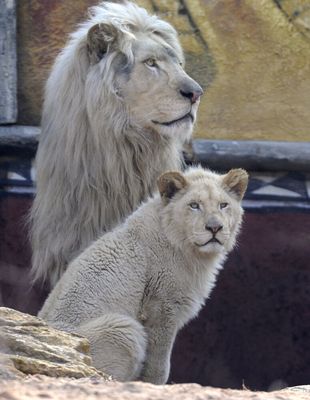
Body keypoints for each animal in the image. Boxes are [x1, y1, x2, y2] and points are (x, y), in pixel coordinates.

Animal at [39, 166, 247, 384]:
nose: (215, 228)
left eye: (223, 205)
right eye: (194, 205)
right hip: (123, 328)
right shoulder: (161, 306)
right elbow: (159, 363)